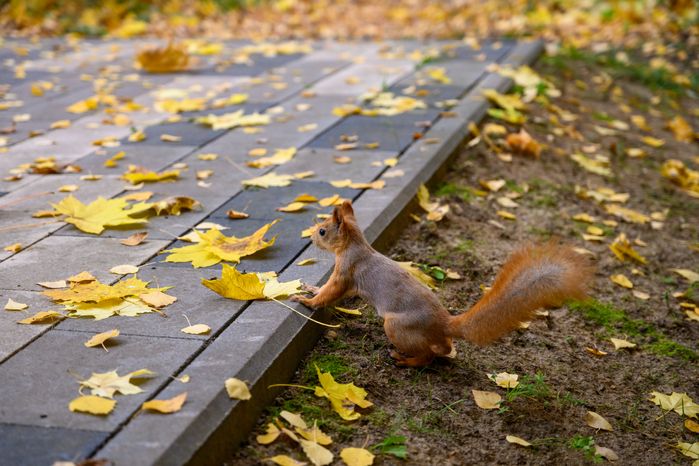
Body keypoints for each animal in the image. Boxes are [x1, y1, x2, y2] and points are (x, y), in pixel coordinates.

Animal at [291, 200, 595, 367]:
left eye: (323, 231)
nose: (310, 238)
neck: (354, 245)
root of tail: (445, 323)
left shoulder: (346, 272)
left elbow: (331, 292)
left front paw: (306, 300)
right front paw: (310, 289)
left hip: (397, 327)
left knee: (428, 355)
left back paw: (406, 360)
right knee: (445, 349)